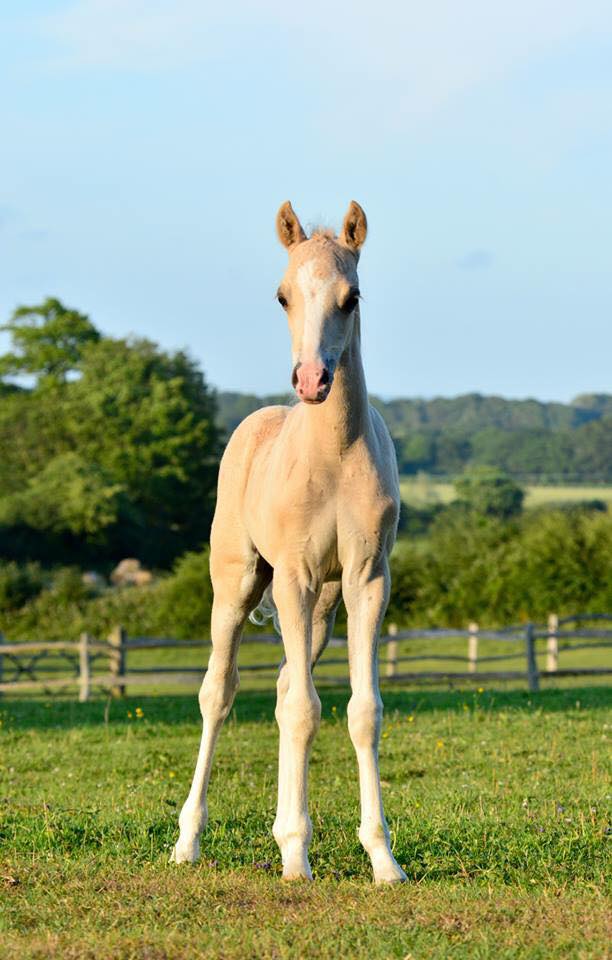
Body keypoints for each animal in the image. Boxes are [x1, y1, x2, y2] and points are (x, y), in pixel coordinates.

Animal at [172, 201, 406, 884]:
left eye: (352, 297)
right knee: (219, 694)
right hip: (240, 583)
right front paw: (298, 861)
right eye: (282, 295)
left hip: (322, 607)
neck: (332, 455)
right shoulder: (295, 577)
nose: (311, 379)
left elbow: (361, 711)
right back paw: (188, 841)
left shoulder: (366, 580)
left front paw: (382, 858)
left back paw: (281, 831)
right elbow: (304, 711)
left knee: (281, 690)